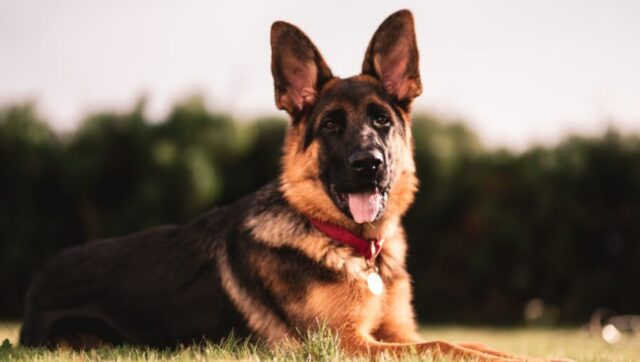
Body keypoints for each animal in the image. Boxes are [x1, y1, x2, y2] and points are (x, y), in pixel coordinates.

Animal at [18, 9, 528, 360]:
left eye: (382, 121)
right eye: (331, 126)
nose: (368, 164)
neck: (352, 246)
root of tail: (34, 289)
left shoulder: (397, 333)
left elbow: (464, 342)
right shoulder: (348, 344)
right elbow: (444, 346)